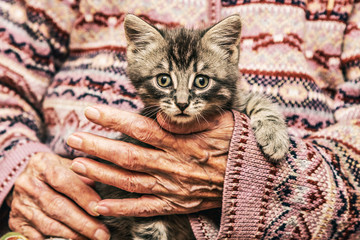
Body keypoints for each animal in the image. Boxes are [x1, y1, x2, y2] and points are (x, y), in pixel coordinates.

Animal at [97, 14, 292, 239]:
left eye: (201, 81)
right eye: (163, 80)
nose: (182, 104)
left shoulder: (234, 103)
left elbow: (257, 102)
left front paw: (274, 137)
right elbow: (150, 229)